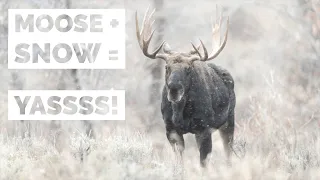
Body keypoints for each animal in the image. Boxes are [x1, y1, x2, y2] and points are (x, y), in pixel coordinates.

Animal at [135, 6, 235, 168]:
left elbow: (204, 163)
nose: (174, 89)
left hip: (229, 121)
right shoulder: (171, 130)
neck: (181, 113)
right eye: (167, 67)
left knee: (229, 152)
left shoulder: (204, 129)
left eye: (188, 69)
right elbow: (179, 163)